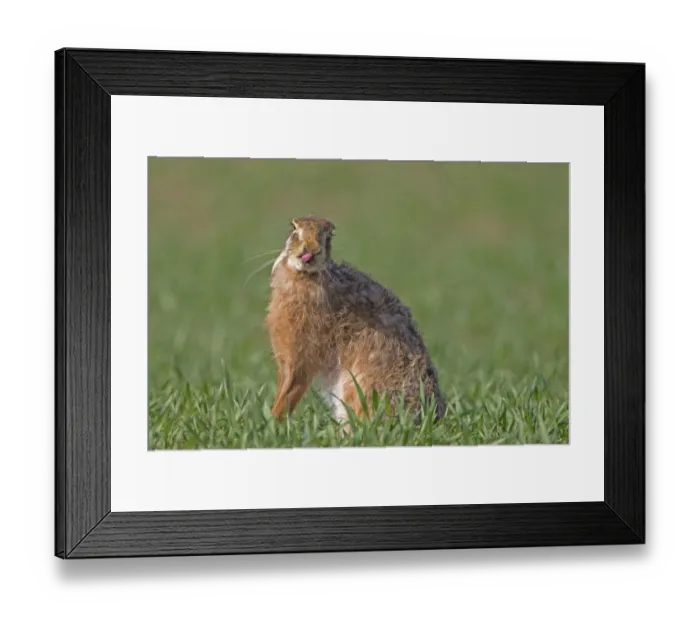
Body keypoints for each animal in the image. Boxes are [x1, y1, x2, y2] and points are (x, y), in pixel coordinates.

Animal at [265, 216, 446, 427]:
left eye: (329, 237)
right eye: (294, 230)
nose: (311, 250)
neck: (305, 277)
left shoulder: (301, 358)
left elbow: (291, 389)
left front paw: (273, 422)